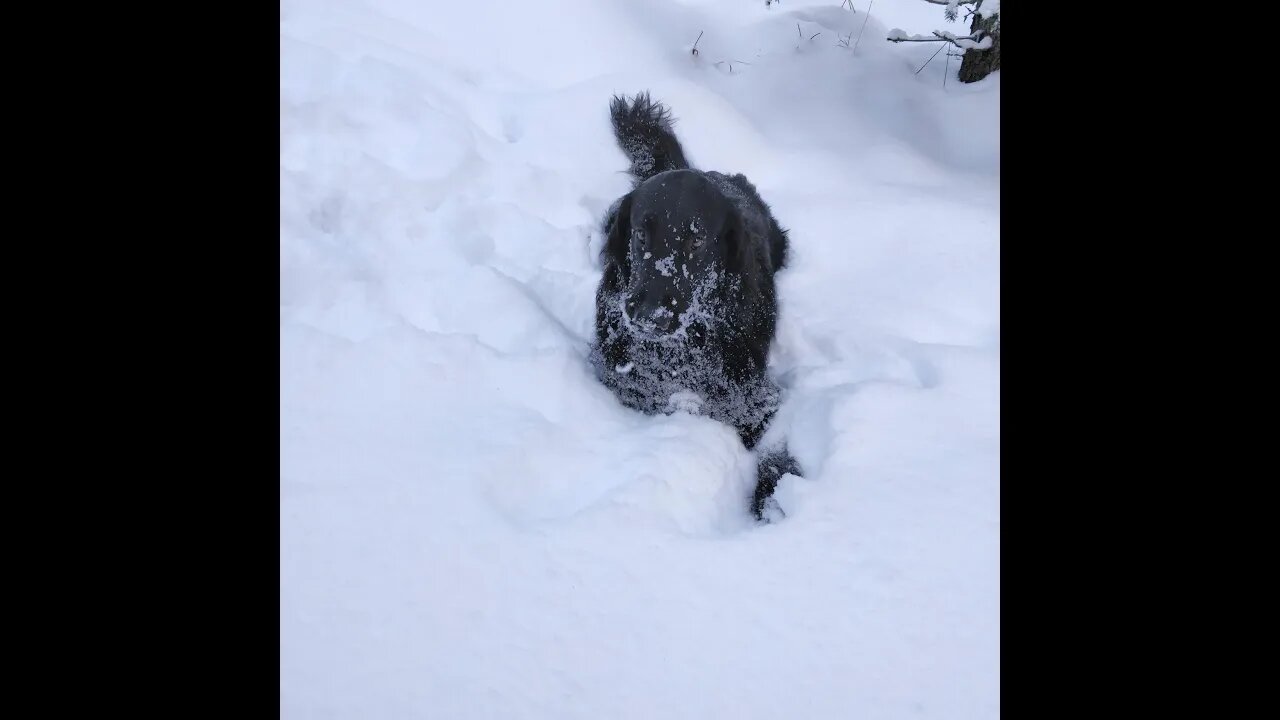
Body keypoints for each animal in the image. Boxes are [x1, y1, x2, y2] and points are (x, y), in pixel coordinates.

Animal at [591, 94, 798, 520]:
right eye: (640, 233)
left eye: (697, 241)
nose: (649, 315)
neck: (682, 352)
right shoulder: (629, 387)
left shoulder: (756, 400)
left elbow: (774, 448)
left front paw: (773, 502)